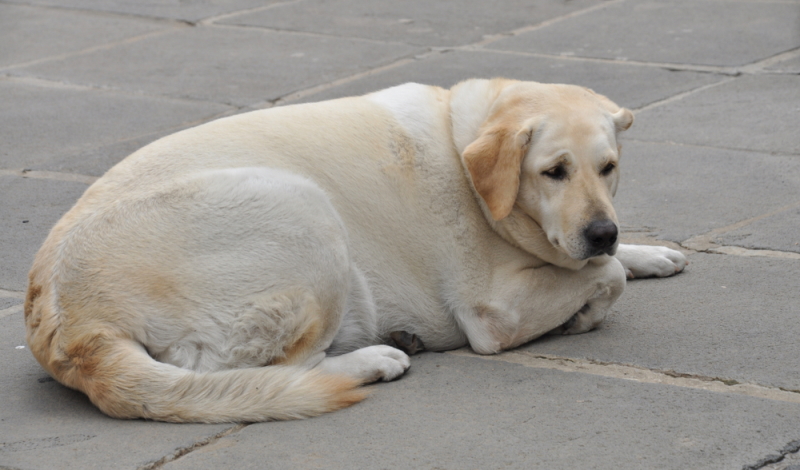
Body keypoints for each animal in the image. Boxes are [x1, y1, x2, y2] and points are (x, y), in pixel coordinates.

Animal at [26, 77, 688, 422]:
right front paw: (587, 309)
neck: (463, 145)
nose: (602, 229)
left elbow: (603, 262)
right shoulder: (494, 311)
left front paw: (650, 252)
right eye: (554, 172)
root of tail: (66, 321)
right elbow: (602, 276)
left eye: (608, 167)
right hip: (304, 212)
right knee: (259, 370)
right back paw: (376, 358)